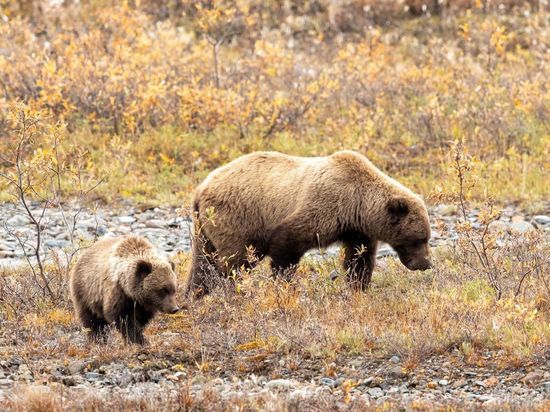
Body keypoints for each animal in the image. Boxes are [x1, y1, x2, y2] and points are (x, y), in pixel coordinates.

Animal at [188, 150, 434, 294]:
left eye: (426, 238)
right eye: (418, 238)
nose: (425, 263)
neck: (357, 204)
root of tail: (201, 188)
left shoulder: (356, 230)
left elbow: (359, 259)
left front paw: (358, 286)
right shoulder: (324, 206)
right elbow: (286, 244)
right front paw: (284, 284)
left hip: (204, 228)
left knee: (203, 261)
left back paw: (196, 293)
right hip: (237, 218)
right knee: (234, 261)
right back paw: (229, 290)